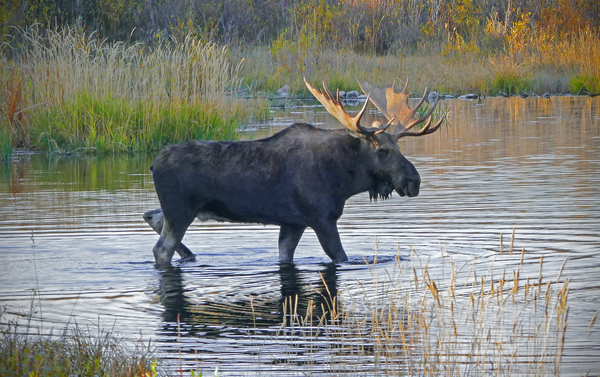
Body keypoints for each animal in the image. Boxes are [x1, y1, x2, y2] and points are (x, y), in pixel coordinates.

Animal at [145, 77, 446, 264]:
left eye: (399, 146)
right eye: (382, 150)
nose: (413, 181)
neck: (344, 180)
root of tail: (153, 163)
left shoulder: (293, 222)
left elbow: (285, 255)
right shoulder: (322, 217)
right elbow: (340, 256)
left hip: (180, 210)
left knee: (152, 216)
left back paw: (190, 256)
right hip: (181, 210)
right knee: (161, 248)